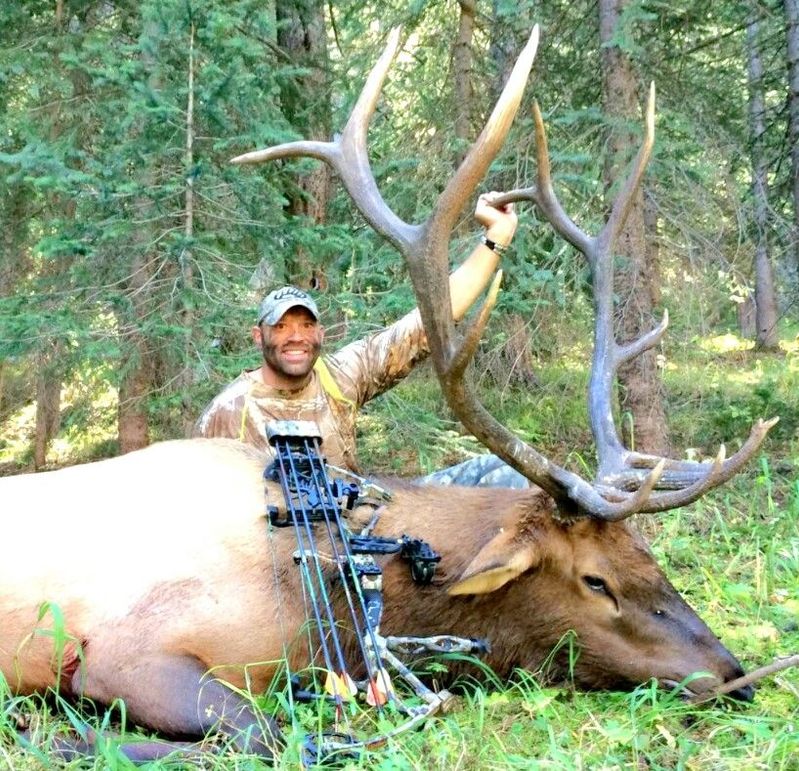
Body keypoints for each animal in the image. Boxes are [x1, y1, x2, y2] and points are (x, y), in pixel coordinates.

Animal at [0, 24, 776, 764]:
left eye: (650, 558)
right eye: (595, 581)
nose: (734, 674)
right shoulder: (125, 649)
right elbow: (269, 734)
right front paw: (63, 737)